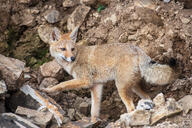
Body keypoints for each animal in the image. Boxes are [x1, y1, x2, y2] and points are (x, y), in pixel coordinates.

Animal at [41, 26, 175, 122]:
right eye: (63, 49)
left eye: (72, 49)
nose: (72, 58)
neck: (77, 57)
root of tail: (137, 48)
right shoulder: (96, 86)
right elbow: (94, 110)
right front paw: (93, 122)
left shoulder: (85, 81)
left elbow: (62, 84)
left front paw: (48, 90)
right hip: (133, 87)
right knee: (147, 97)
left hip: (121, 87)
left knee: (131, 108)